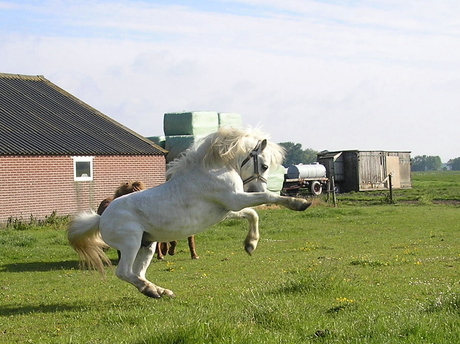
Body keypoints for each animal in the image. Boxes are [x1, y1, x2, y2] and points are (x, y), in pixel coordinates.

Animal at [66, 127, 310, 298]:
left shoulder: (227, 208)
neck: (212, 169)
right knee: (124, 272)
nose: (255, 189)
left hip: (148, 245)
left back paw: (159, 291)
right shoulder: (234, 198)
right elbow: (267, 200)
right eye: (265, 166)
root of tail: (101, 218)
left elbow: (252, 214)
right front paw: (299, 203)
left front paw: (250, 244)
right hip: (130, 242)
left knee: (137, 273)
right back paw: (152, 291)